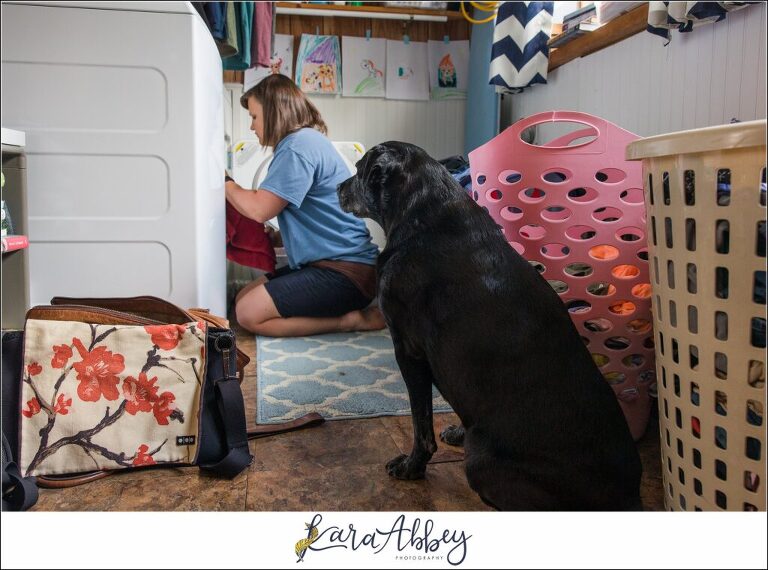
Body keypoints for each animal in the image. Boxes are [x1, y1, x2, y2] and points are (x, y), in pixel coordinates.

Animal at [338, 142, 640, 510]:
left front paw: (411, 466)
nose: (337, 188)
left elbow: (421, 424)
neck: (427, 215)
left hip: (481, 460)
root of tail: (629, 497)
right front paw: (456, 431)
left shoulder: (408, 352)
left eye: (359, 169)